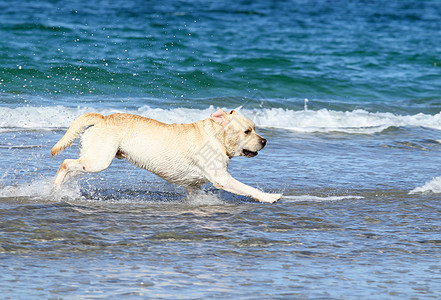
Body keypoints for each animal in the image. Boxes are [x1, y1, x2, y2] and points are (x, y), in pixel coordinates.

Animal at [50, 109, 282, 203]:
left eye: (255, 128)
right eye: (247, 131)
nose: (265, 141)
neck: (217, 137)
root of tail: (102, 117)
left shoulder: (193, 186)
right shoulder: (222, 178)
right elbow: (248, 188)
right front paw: (269, 197)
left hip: (92, 159)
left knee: (72, 169)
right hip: (98, 161)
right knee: (66, 163)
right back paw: (54, 188)